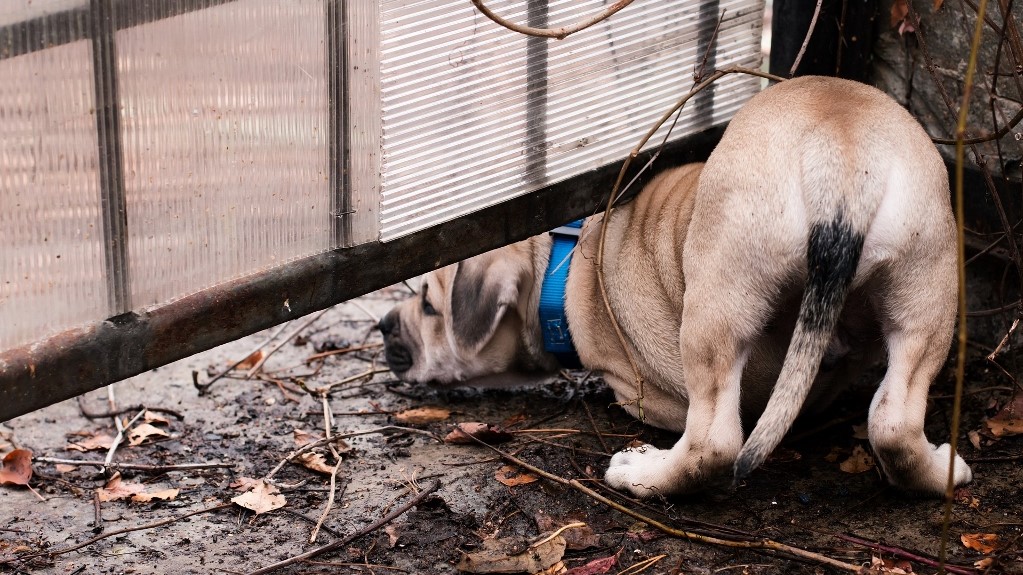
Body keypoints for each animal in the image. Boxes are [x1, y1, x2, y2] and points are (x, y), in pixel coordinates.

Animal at [378, 76, 973, 497]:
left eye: (428, 305)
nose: (382, 324)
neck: (561, 265)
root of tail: (841, 149)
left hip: (718, 302)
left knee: (714, 441)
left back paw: (643, 475)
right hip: (929, 284)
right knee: (894, 421)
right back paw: (942, 469)